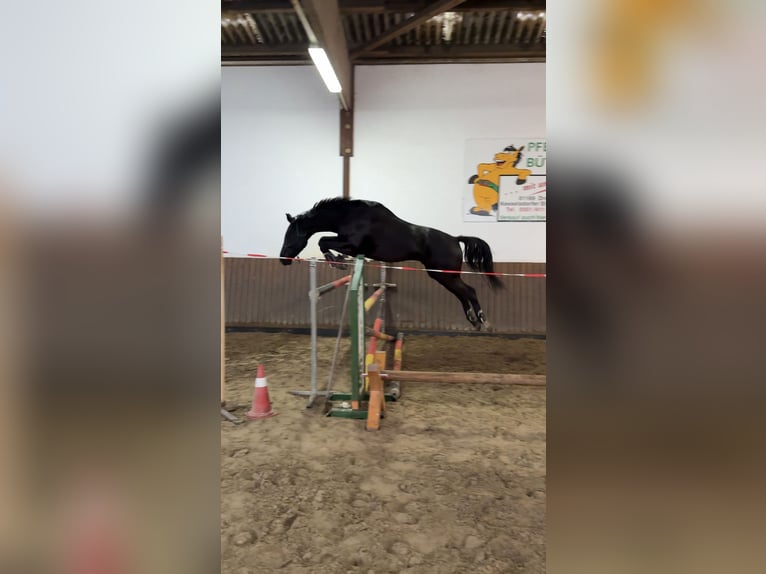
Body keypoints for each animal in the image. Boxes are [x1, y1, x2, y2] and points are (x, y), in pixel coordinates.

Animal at [279, 197, 503, 330]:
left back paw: (483, 321)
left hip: (444, 274)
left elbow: (323, 240)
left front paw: (337, 261)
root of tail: (456, 239)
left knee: (469, 291)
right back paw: (474, 321)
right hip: (442, 275)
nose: (283, 259)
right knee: (462, 293)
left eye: (290, 235)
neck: (350, 216)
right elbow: (324, 240)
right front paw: (338, 260)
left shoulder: (352, 245)